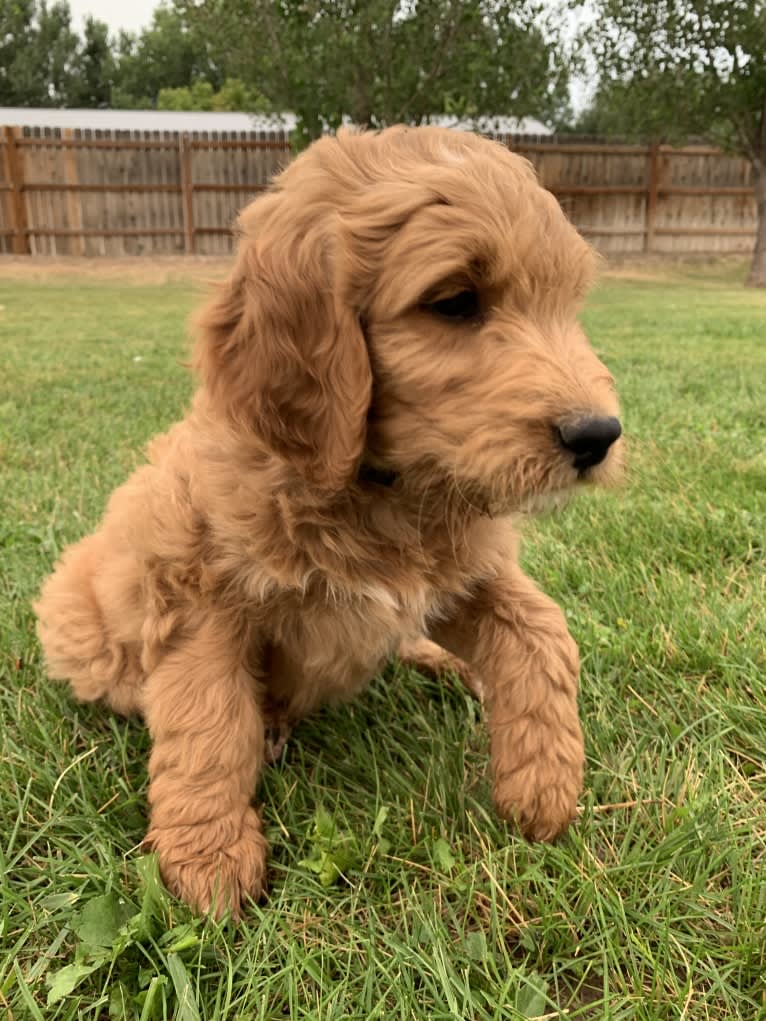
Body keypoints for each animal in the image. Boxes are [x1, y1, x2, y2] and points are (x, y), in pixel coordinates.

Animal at [34, 125, 625, 918]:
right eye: (455, 302)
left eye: (566, 303)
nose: (599, 436)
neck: (378, 490)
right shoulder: (200, 604)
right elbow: (208, 721)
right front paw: (207, 858)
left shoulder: (463, 573)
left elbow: (542, 630)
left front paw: (544, 788)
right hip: (80, 623)